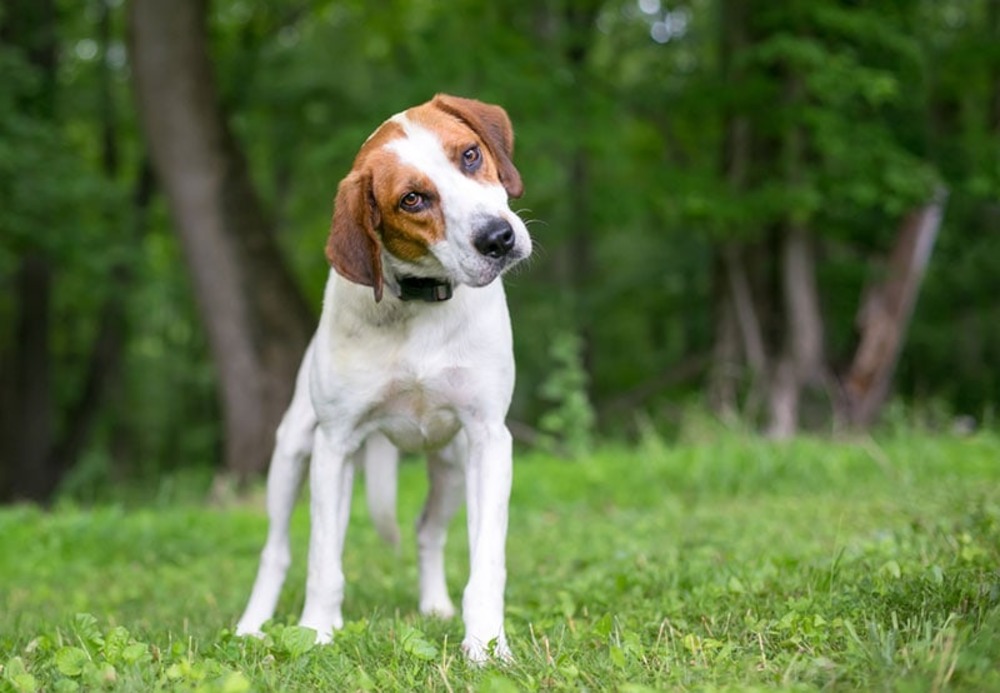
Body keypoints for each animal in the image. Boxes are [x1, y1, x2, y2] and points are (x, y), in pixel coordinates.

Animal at [234, 93, 532, 660]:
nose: (498, 238)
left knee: (427, 531)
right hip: (293, 453)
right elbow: (322, 562)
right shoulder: (334, 445)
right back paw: (251, 624)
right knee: (276, 551)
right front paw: (316, 634)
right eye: (412, 199)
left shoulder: (489, 439)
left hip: (452, 466)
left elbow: (487, 561)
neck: (419, 304)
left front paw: (486, 645)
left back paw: (435, 607)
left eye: (470, 155)